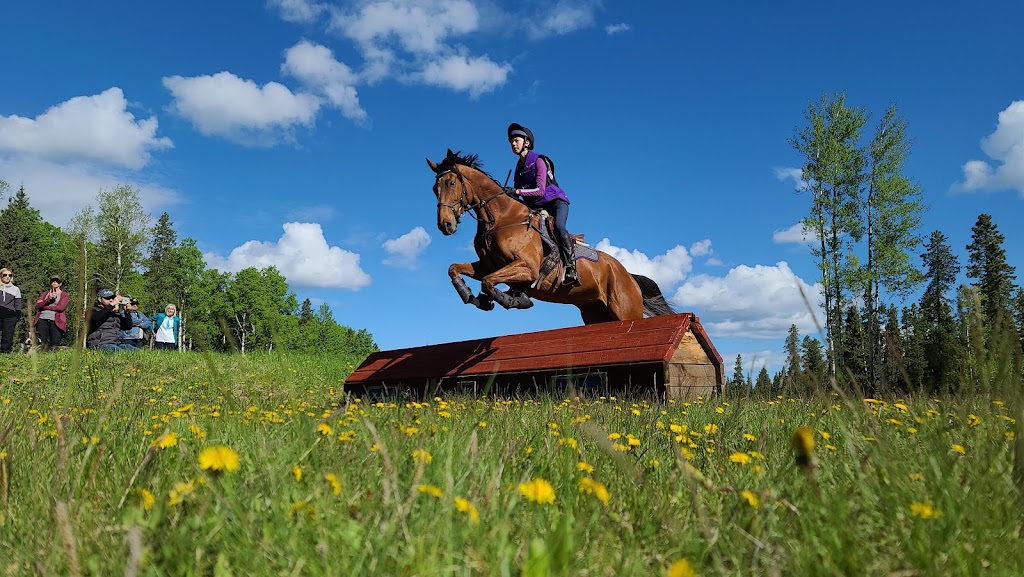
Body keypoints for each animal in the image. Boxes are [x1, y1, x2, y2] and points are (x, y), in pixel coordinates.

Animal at [425, 147, 675, 325]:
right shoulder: (488, 265)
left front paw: (512, 299)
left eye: (451, 183)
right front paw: (472, 296)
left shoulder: (528, 268)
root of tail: (628, 275)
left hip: (625, 311)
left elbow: (489, 282)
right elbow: (455, 268)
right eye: (434, 189)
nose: (445, 225)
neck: (500, 219)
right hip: (595, 313)